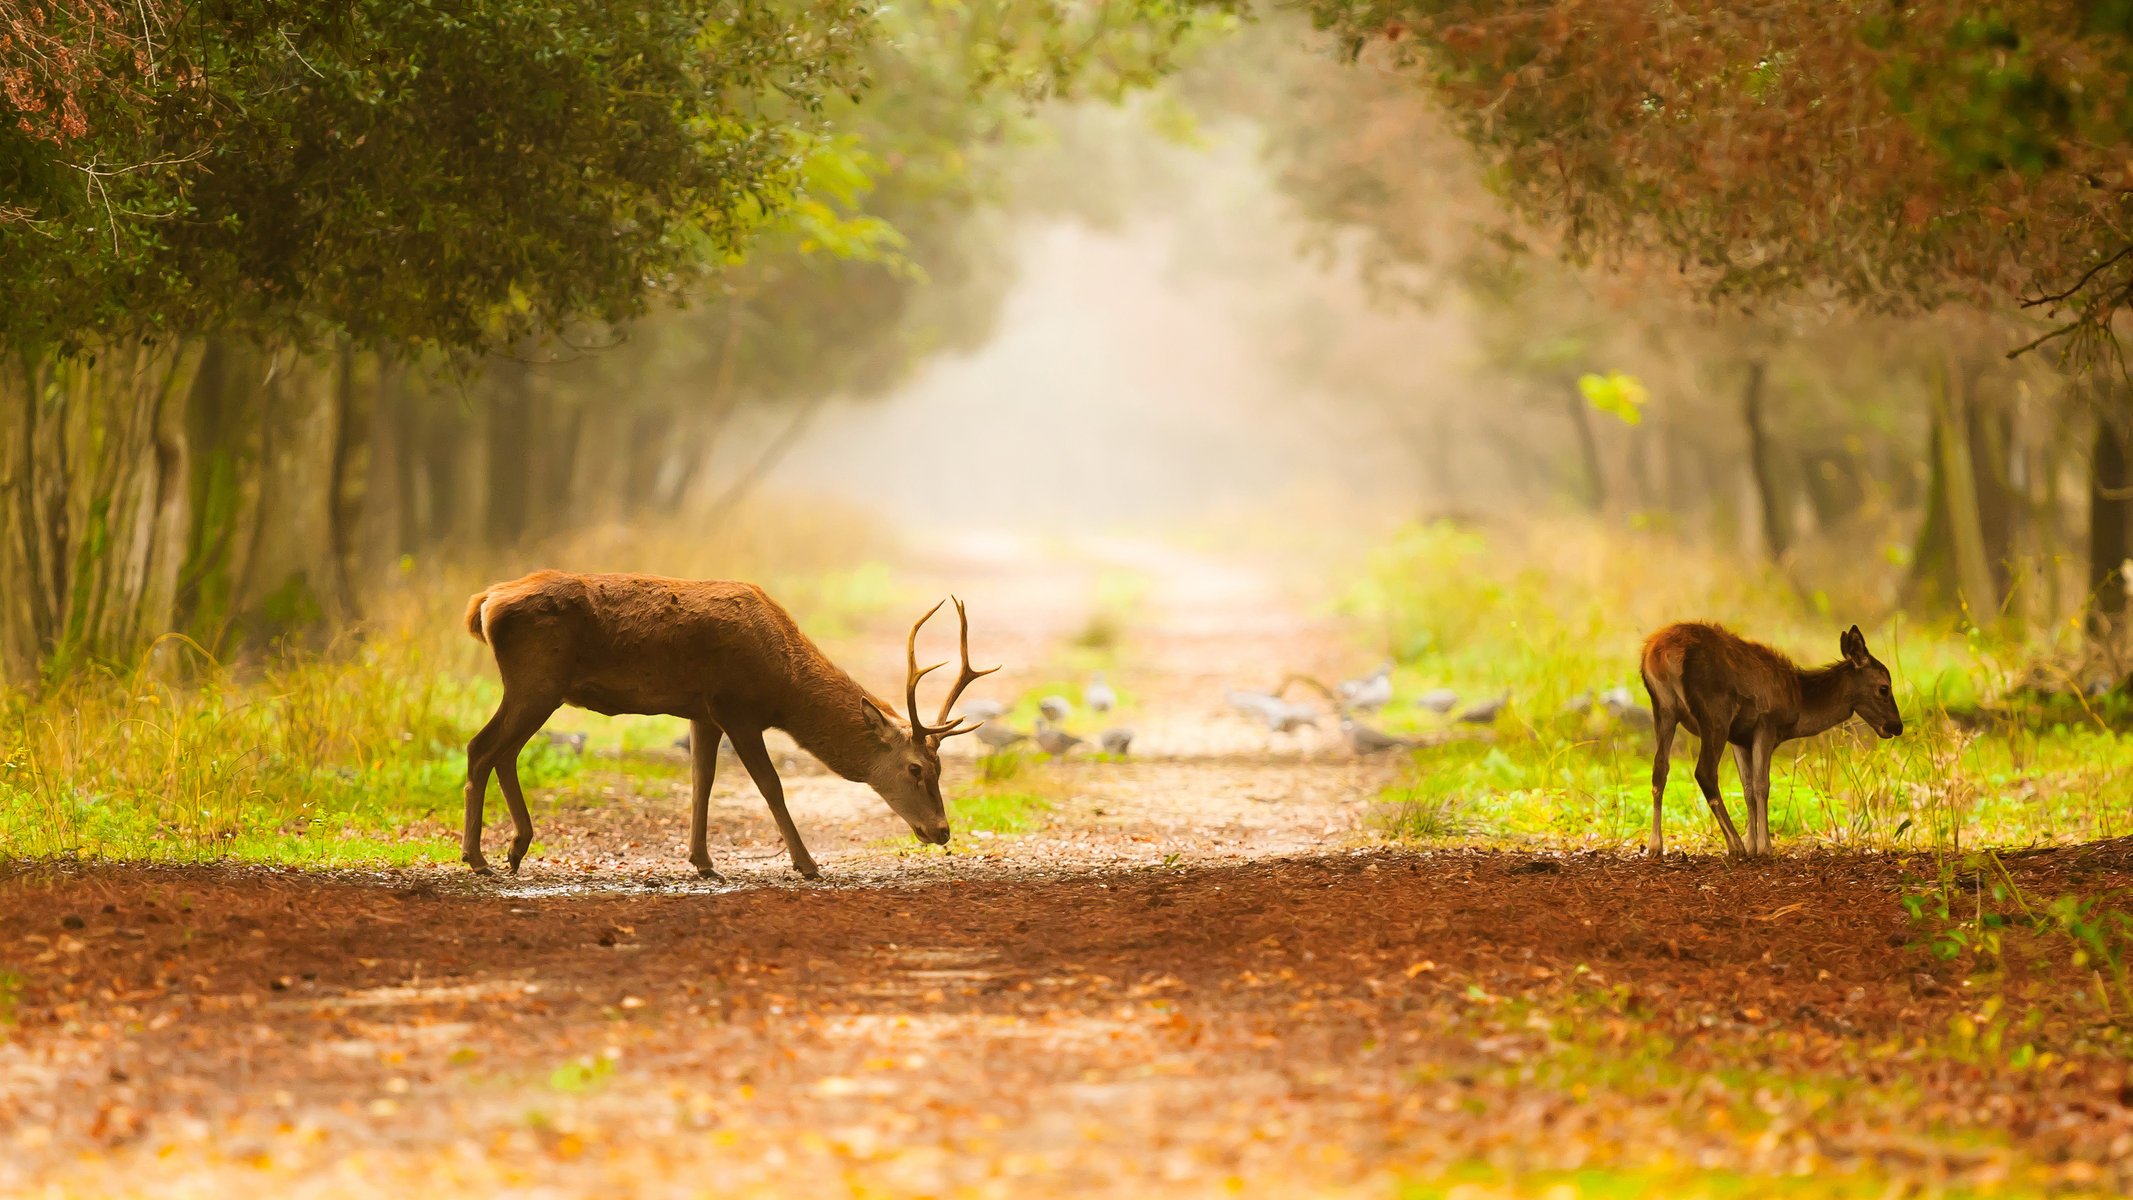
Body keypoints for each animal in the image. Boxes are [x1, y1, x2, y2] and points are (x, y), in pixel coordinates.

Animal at [462, 566, 993, 878]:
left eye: (942, 769)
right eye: (916, 768)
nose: (942, 831)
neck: (783, 685)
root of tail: (484, 602)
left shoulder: (703, 712)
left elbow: (703, 781)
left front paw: (703, 863)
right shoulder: (737, 707)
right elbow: (771, 785)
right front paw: (807, 864)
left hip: (536, 687)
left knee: (501, 751)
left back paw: (515, 848)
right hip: (537, 680)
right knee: (481, 747)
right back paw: (478, 858)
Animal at [1638, 618, 1911, 865]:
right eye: (1884, 688)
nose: (1896, 726)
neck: (1798, 701)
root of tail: (1660, 654)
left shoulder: (1740, 738)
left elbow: (1747, 788)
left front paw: (1752, 844)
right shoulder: (1766, 724)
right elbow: (1762, 785)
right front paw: (1763, 848)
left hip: (1663, 709)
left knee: (1659, 769)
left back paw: (1655, 846)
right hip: (1715, 712)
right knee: (1704, 772)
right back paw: (1734, 845)